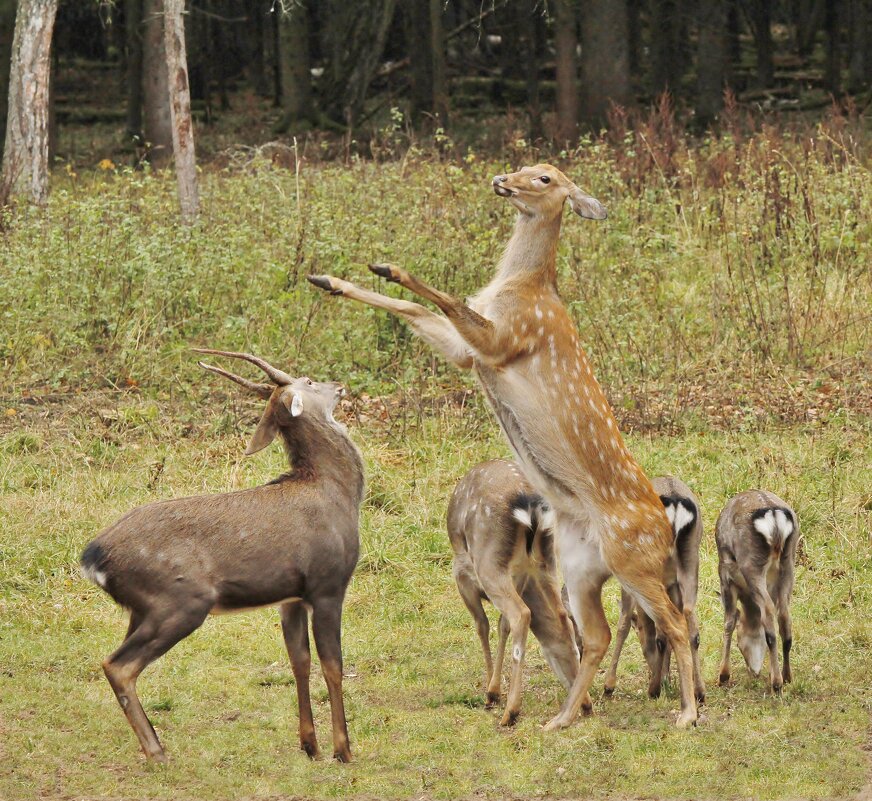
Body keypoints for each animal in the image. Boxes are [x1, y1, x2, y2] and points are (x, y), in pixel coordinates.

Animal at [82, 350, 364, 764]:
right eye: (310, 382)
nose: (340, 386)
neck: (336, 494)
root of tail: (92, 559)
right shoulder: (327, 584)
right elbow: (333, 665)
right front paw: (342, 750)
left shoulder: (290, 596)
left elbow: (299, 662)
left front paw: (309, 745)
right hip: (182, 600)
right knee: (118, 665)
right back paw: (157, 750)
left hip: (141, 609)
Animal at [450, 456, 580, 724]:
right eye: (572, 652)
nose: (586, 705)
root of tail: (530, 507)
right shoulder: (521, 577)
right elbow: (502, 626)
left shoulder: (462, 576)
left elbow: (482, 624)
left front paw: (491, 692)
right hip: (546, 561)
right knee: (555, 614)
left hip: (489, 563)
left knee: (521, 614)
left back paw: (511, 710)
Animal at [608, 476, 708, 700]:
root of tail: (676, 501)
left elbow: (623, 624)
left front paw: (608, 686)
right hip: (691, 560)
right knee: (690, 623)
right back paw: (698, 691)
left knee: (662, 630)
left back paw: (653, 688)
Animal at [716, 490, 796, 692]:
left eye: (739, 642)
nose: (754, 671)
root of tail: (774, 516)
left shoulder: (725, 576)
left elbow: (729, 620)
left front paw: (723, 676)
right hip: (789, 563)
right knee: (784, 615)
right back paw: (786, 676)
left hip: (752, 564)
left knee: (768, 611)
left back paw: (776, 683)